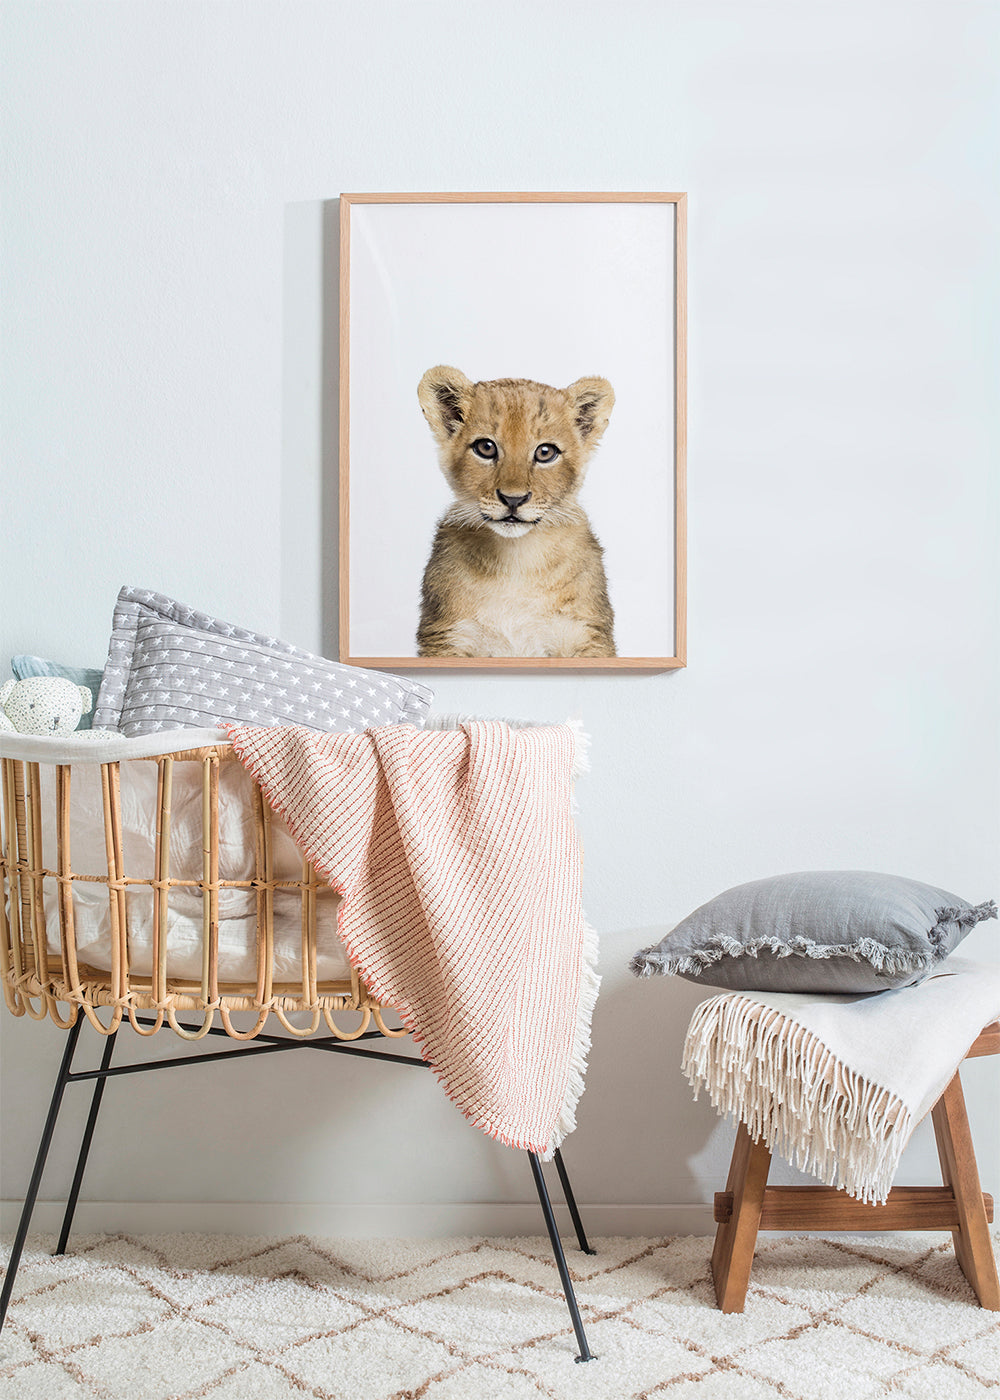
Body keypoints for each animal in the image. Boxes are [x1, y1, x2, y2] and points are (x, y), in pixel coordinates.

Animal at [415, 366, 617, 658]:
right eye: (485, 448)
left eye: (545, 452)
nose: (513, 499)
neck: (516, 560)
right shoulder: (447, 636)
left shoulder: (586, 635)